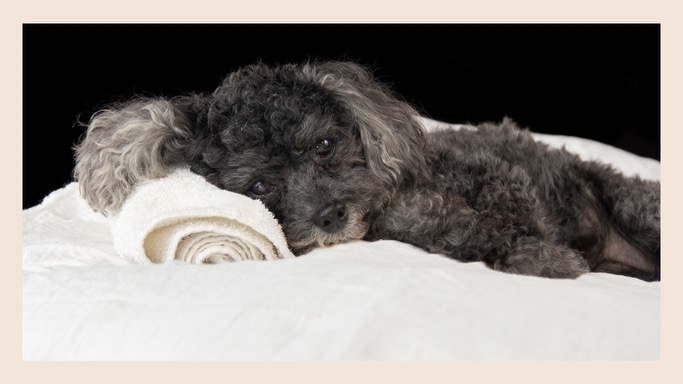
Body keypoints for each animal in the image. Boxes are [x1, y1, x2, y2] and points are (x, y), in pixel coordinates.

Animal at [75, 61, 664, 280]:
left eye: (325, 145)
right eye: (262, 185)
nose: (333, 215)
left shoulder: (497, 177)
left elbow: (491, 221)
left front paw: (543, 256)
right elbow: (469, 232)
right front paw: (544, 260)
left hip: (638, 206)